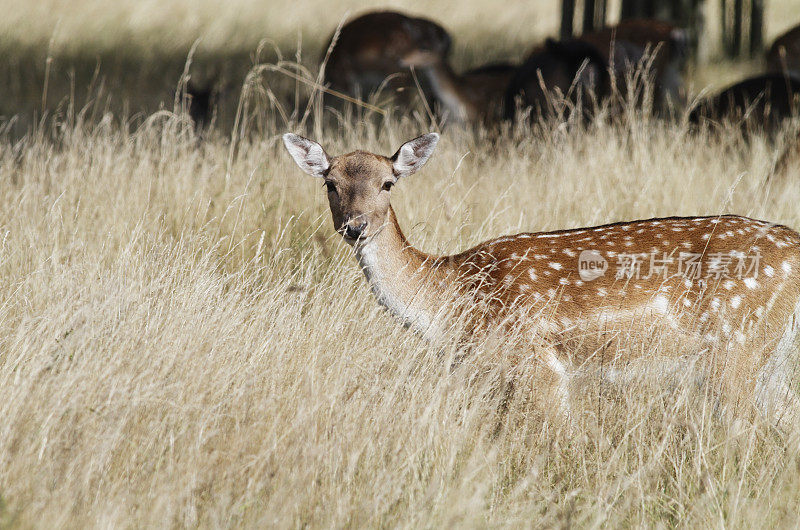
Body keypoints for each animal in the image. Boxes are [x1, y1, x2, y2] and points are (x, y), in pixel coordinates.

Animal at [282, 133, 800, 424]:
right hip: (770, 362)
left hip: (737, 348)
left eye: (388, 183)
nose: (355, 226)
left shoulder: (538, 365)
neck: (452, 303)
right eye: (330, 183)